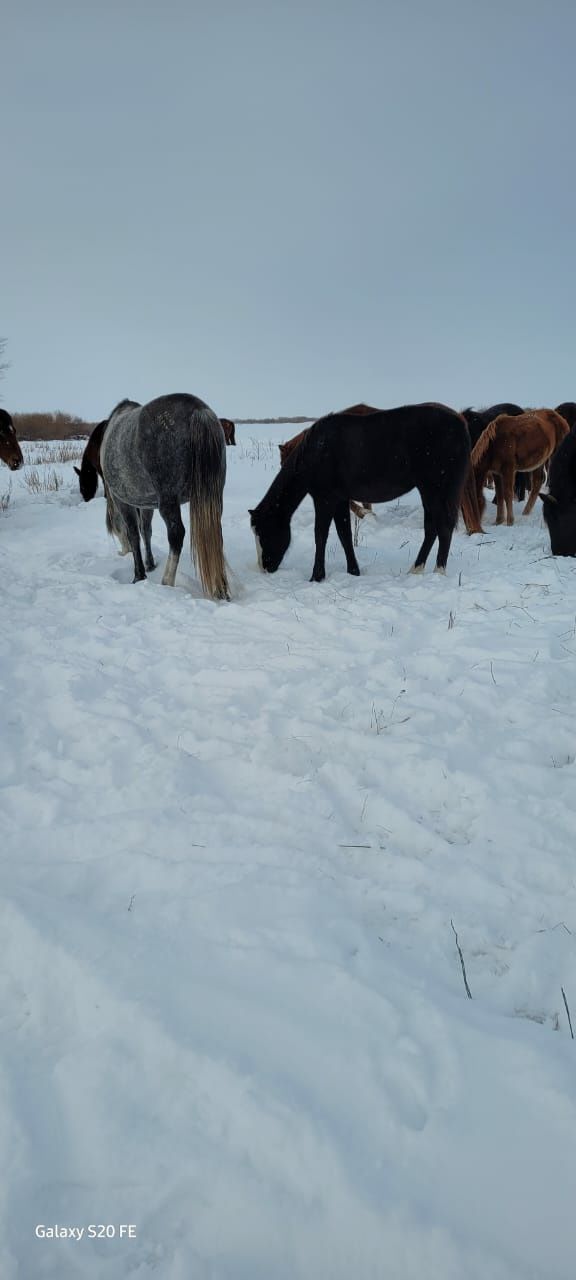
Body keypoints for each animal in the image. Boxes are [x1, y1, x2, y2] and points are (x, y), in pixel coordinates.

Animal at [99, 391, 227, 596]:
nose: (122, 551)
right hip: (212, 497)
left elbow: (133, 533)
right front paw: (150, 564)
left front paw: (139, 575)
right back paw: (220, 587)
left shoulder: (123, 501)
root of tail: (198, 410)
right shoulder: (146, 503)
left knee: (176, 535)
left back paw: (167, 581)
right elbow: (146, 530)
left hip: (169, 502)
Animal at [250, 401, 481, 583]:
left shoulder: (324, 500)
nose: (265, 568)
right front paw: (353, 571)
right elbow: (344, 534)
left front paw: (317, 576)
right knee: (432, 528)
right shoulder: (340, 500)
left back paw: (438, 572)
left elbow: (321, 535)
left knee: (443, 526)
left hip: (436, 489)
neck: (316, 452)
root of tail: (460, 422)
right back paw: (416, 569)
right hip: (429, 491)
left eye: (264, 532)